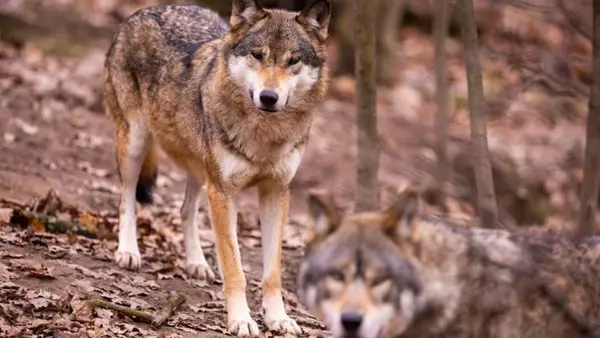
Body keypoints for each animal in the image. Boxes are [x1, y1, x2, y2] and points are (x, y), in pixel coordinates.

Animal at [101, 0, 330, 336]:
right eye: (257, 55)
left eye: (293, 61)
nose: (269, 97)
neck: (265, 136)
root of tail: (144, 11)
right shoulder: (223, 193)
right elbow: (235, 269)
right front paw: (241, 320)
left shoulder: (276, 194)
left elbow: (272, 273)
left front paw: (278, 318)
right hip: (135, 144)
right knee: (126, 199)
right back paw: (128, 252)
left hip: (200, 169)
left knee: (185, 210)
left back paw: (197, 263)